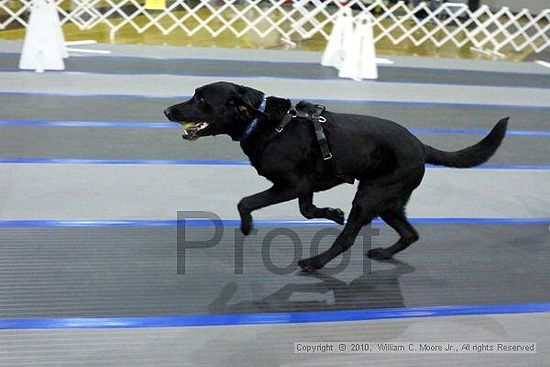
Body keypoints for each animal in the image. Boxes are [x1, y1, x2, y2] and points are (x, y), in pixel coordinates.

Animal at [164, 83, 508, 274]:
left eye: (201, 100)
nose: (167, 110)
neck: (263, 123)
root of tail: (422, 147)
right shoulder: (305, 186)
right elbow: (307, 210)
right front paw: (331, 213)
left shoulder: (291, 185)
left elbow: (245, 202)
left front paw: (247, 226)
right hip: (388, 202)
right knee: (410, 233)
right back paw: (383, 253)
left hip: (370, 196)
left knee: (348, 238)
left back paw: (314, 262)